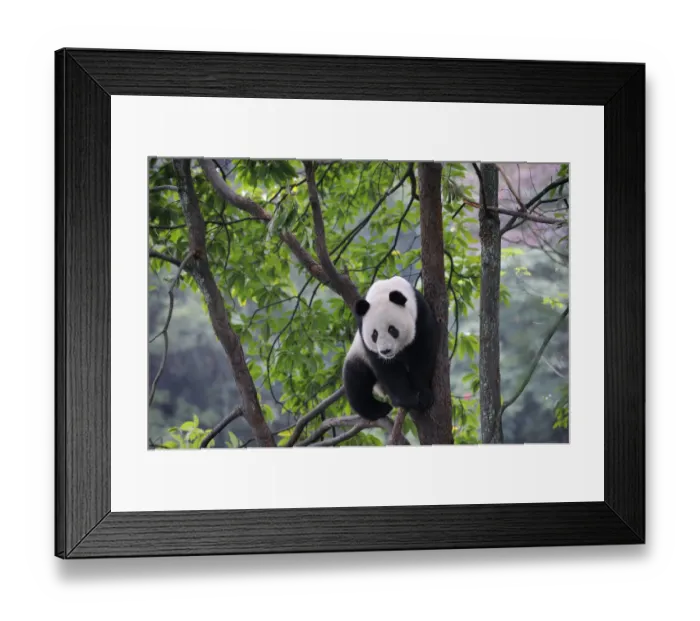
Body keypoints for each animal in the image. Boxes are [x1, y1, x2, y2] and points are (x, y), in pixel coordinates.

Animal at [342, 275, 440, 422]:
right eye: (374, 334)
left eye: (392, 329)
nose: (385, 351)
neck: (383, 290)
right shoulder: (363, 335)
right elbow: (388, 369)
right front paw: (408, 399)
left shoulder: (420, 315)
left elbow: (422, 355)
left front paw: (424, 395)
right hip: (358, 355)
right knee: (355, 381)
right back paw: (379, 409)